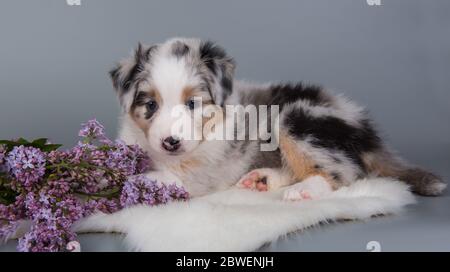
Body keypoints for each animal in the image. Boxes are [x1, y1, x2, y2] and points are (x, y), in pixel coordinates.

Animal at [110, 37, 446, 200]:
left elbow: (170, 178)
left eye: (193, 103)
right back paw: (263, 179)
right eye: (150, 105)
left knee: (345, 172)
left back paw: (304, 190)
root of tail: (366, 129)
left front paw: (133, 181)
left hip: (294, 118)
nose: (171, 143)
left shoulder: (204, 174)